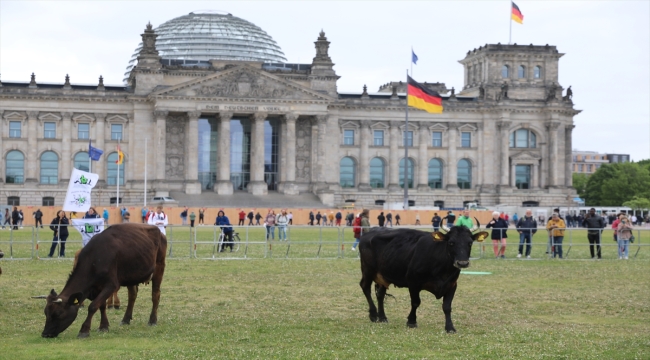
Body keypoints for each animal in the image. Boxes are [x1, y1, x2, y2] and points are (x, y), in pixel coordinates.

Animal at [356, 221, 484, 334]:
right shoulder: (413, 283)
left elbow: (447, 307)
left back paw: (382, 317)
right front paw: (412, 322)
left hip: (383, 275)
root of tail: (370, 232)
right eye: (451, 242)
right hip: (367, 270)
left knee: (380, 294)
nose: (462, 263)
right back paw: (373, 315)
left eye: (470, 243)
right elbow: (416, 302)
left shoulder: (452, 285)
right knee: (365, 287)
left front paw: (450, 327)